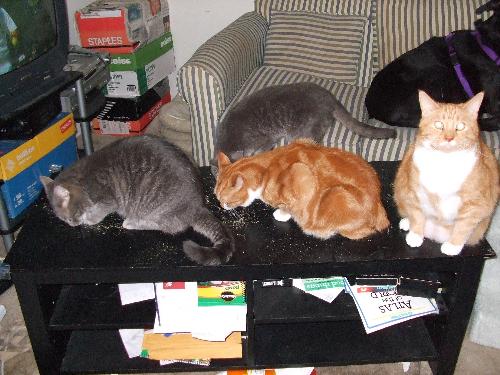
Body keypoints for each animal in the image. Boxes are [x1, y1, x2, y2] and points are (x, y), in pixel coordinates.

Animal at [213, 139, 388, 241]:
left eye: (226, 201)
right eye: (217, 198)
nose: (221, 206)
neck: (265, 169)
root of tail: (378, 204)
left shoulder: (300, 174)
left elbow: (290, 206)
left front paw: (282, 214)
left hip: (337, 195)